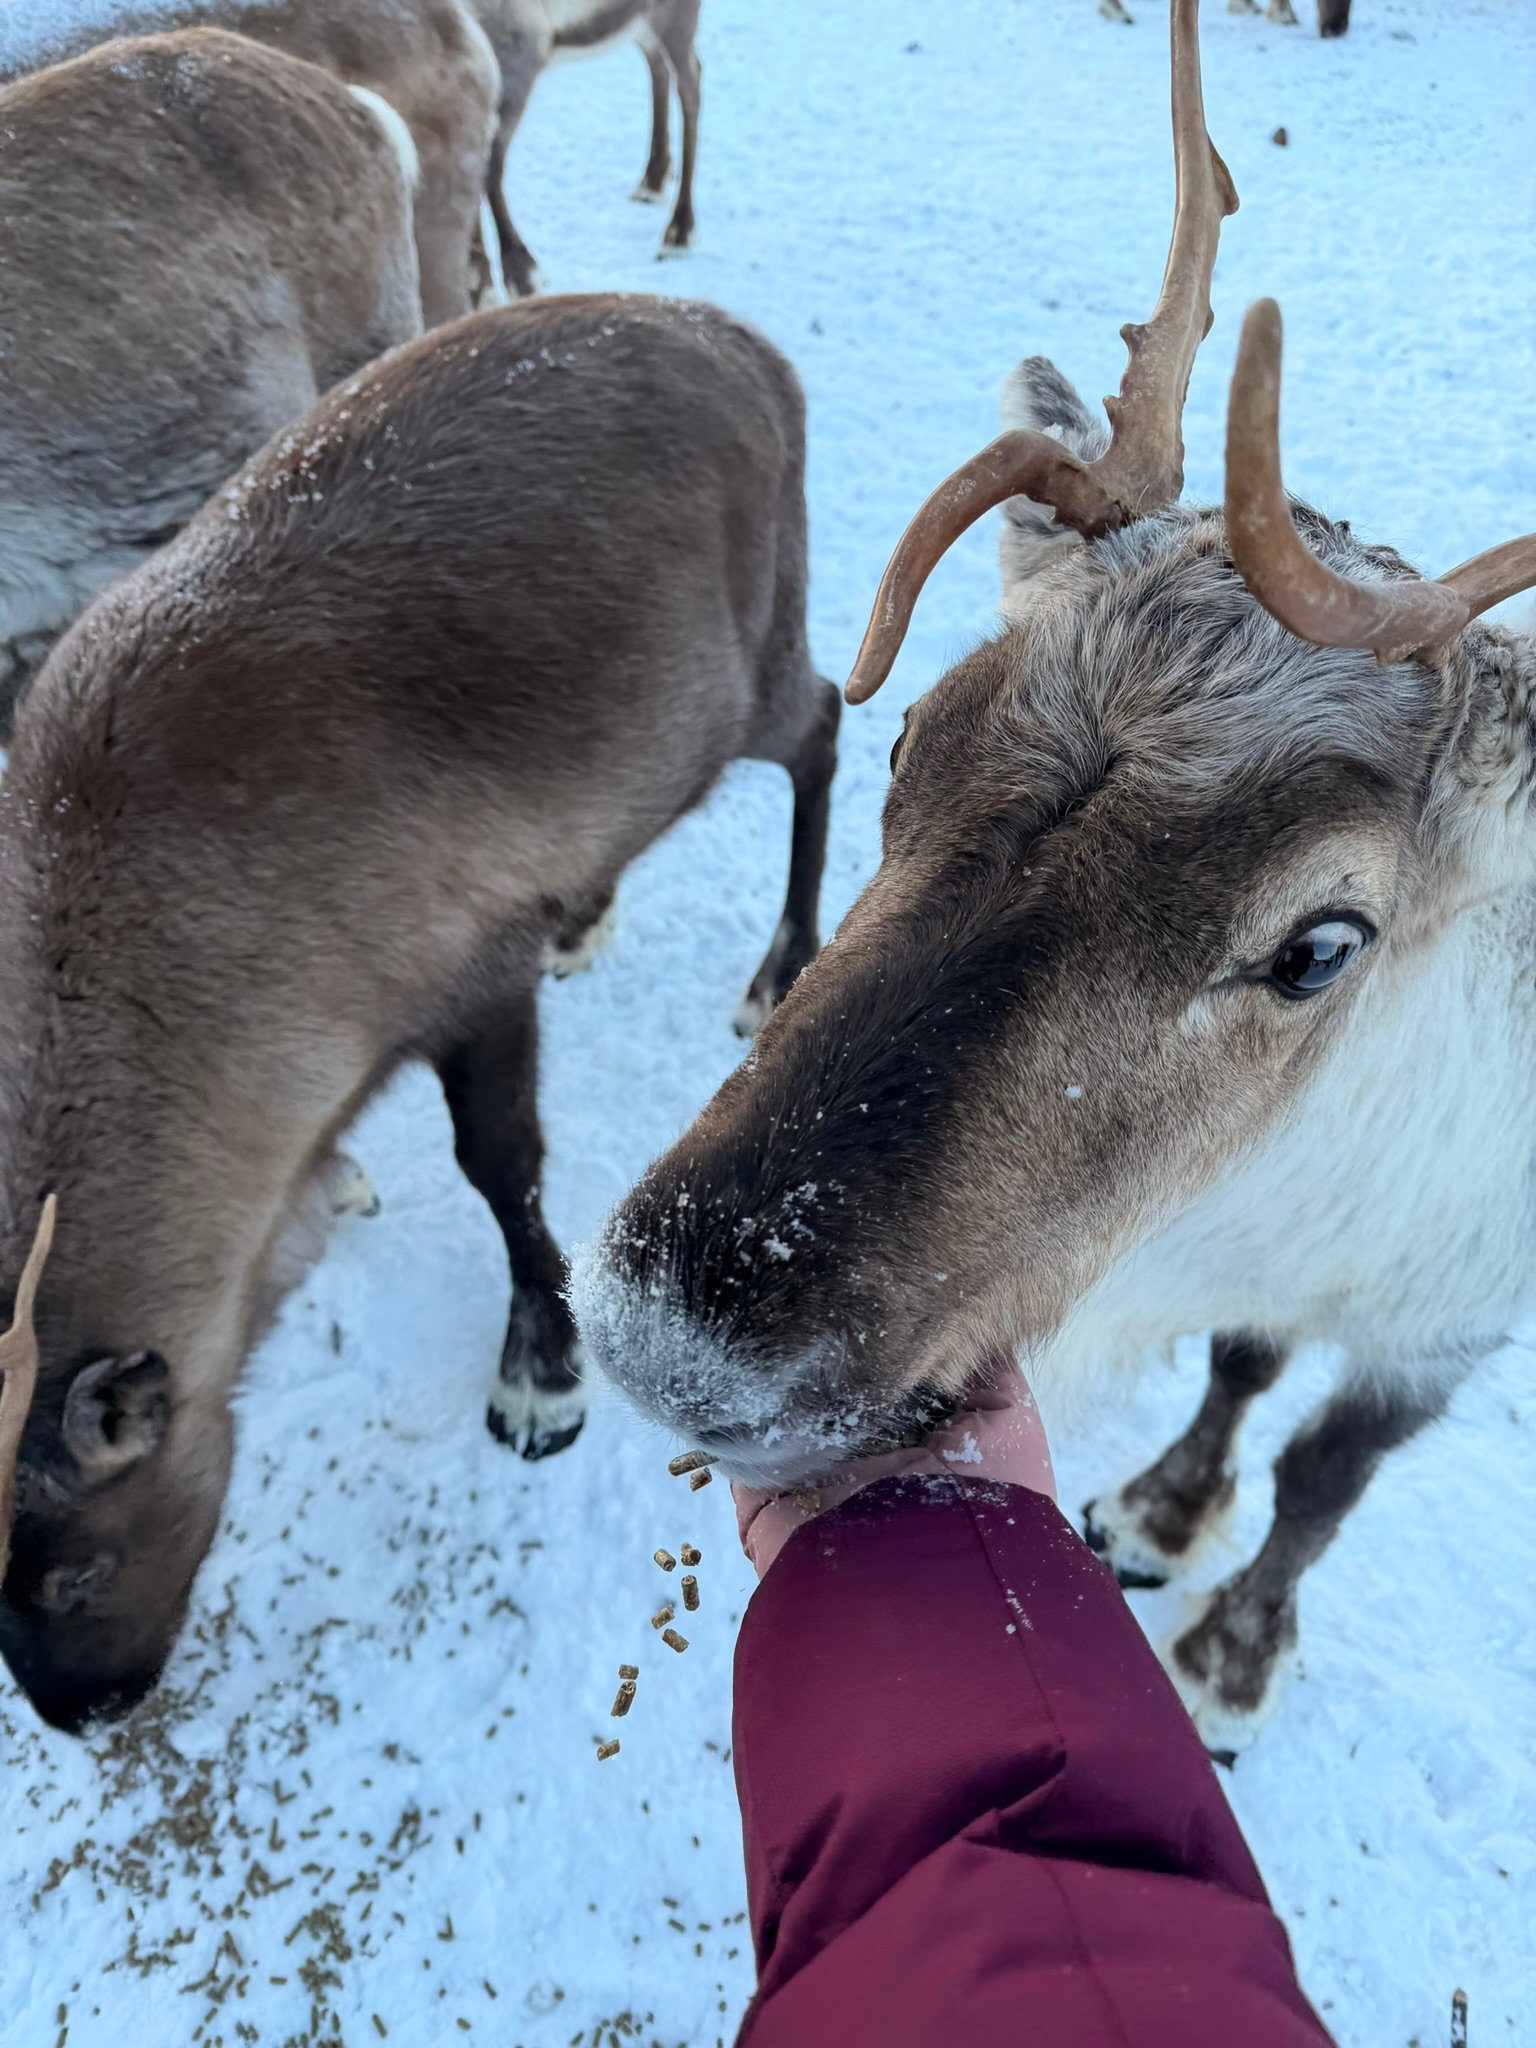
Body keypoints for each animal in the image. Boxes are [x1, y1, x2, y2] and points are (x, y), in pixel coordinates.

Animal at [0, 290, 838, 1733]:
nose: (82, 1710)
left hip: (750, 669)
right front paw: (340, 1182)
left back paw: (780, 962)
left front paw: (540, 1377)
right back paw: (591, 911)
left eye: (74, 1569)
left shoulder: (467, 974)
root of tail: (746, 342)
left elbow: (501, 1164)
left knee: (830, 724)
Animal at [470, 0, 701, 297]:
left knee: (690, 82)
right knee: (657, 62)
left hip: (675, 15)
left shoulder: (520, 49)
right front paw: (477, 279)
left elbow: (489, 170)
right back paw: (654, 179)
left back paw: (679, 231)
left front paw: (522, 274)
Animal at [576, 0, 1536, 1755]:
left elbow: (1326, 1472)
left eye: (1320, 944)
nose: (676, 1341)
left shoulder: (1455, 1310)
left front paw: (1231, 1657)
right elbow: (1241, 1371)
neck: (1291, 1201)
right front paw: (1162, 1506)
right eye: (909, 740)